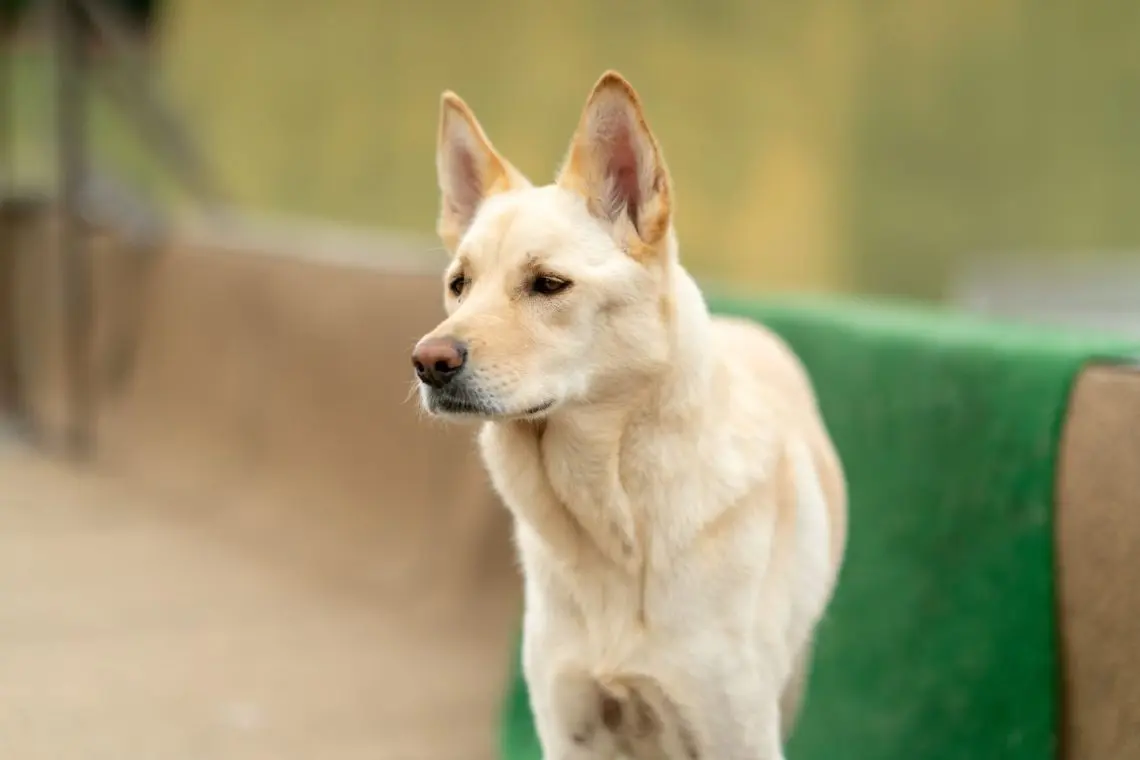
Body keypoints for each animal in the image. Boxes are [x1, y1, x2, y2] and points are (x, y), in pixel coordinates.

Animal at [410, 71, 848, 760]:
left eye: (548, 284)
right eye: (460, 284)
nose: (427, 362)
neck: (610, 519)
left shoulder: (737, 731)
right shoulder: (568, 726)